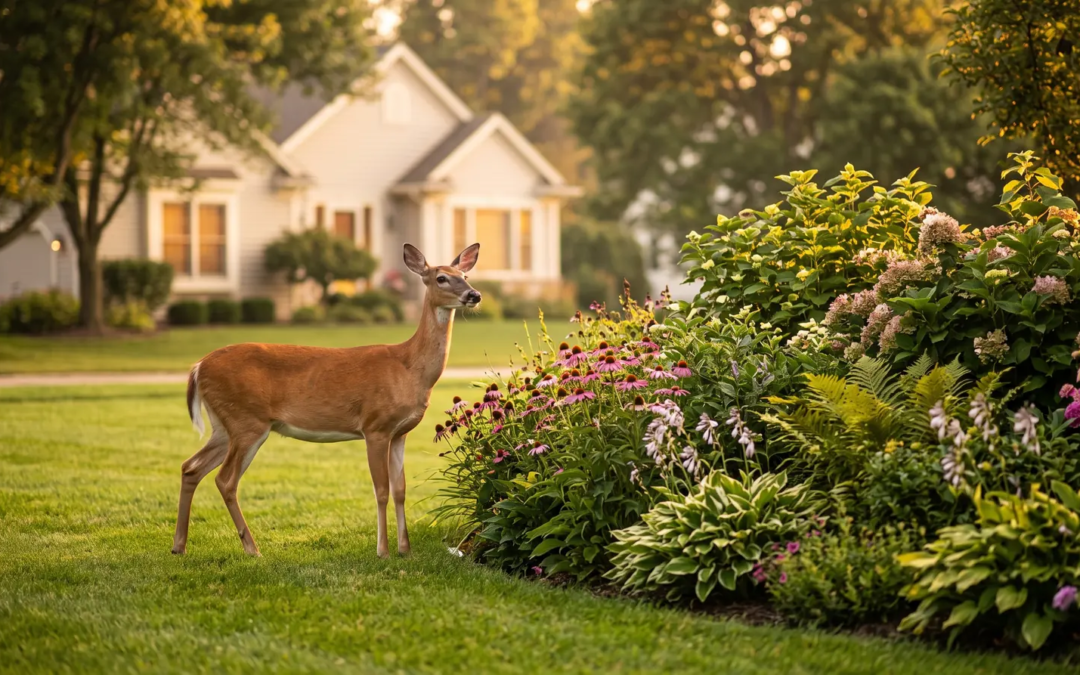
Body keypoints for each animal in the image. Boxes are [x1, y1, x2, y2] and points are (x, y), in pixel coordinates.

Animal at [171, 243, 482, 558]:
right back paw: (252, 549)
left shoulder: (400, 433)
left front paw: (405, 550)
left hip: (225, 425)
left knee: (191, 467)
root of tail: (198, 367)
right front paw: (383, 551)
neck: (409, 367)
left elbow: (400, 490)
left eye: (465, 275)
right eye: (441, 278)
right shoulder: (375, 426)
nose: (474, 295)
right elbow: (381, 490)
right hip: (247, 421)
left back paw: (179, 546)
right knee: (225, 480)